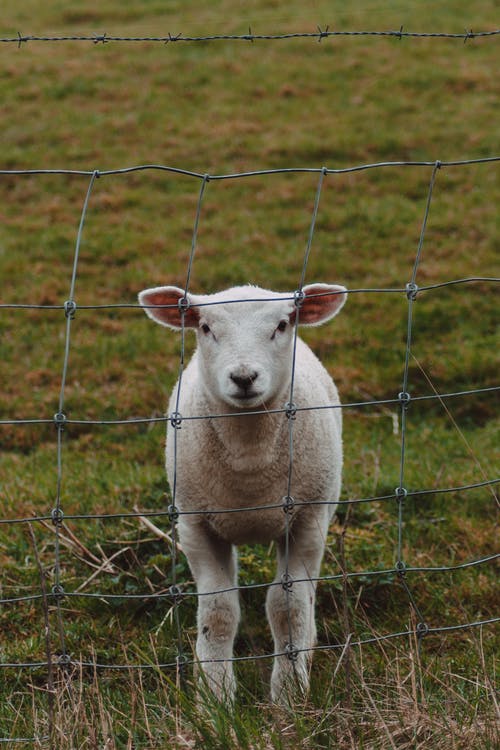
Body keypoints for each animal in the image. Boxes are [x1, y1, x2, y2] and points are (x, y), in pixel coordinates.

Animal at [137, 284, 348, 704]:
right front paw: (214, 698)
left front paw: (289, 695)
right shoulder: (196, 525)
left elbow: (288, 606)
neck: (249, 464)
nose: (244, 377)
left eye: (282, 325)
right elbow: (218, 611)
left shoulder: (308, 519)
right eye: (205, 327)